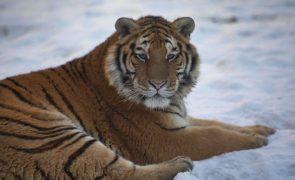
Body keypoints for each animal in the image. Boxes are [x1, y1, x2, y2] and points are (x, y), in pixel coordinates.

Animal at [0, 15, 276, 180]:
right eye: (142, 56)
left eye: (171, 56)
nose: (158, 85)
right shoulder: (163, 138)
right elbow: (215, 135)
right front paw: (257, 140)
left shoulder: (180, 119)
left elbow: (218, 123)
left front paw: (262, 129)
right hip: (47, 133)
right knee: (117, 173)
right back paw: (181, 165)